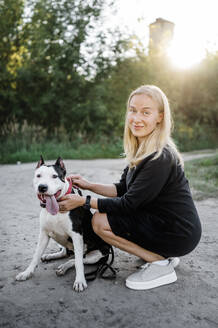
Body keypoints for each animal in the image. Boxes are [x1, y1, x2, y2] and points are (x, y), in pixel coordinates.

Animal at [15, 156, 110, 292]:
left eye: (55, 176)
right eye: (38, 175)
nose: (42, 187)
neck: (58, 208)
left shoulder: (76, 235)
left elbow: (78, 263)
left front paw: (80, 281)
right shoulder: (44, 234)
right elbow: (35, 256)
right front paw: (27, 273)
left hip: (99, 252)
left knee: (78, 259)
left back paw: (64, 267)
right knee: (66, 252)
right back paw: (51, 256)